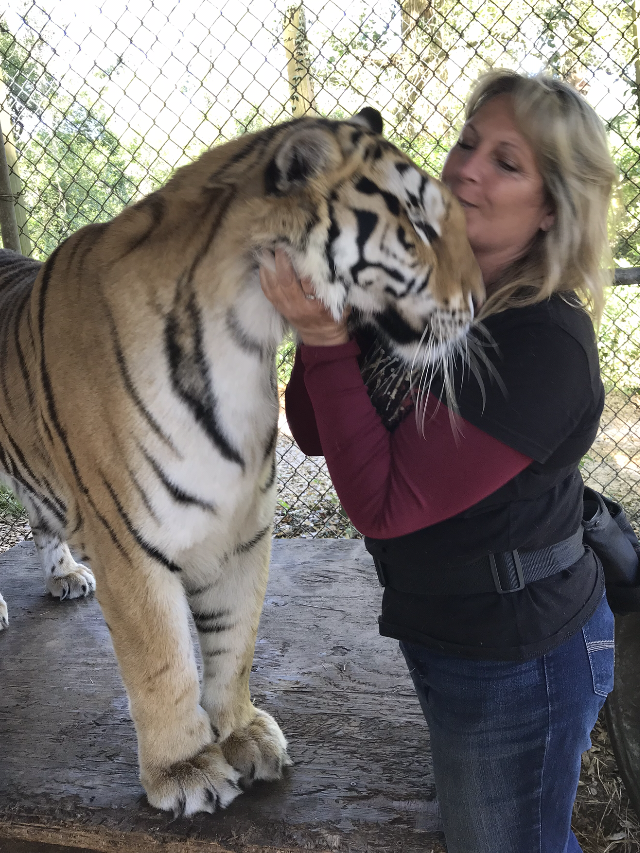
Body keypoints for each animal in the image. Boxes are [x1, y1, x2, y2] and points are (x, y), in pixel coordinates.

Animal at [0, 107, 482, 816]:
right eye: (419, 225)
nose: (481, 298)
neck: (246, 331)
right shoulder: (129, 543)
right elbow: (164, 664)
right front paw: (184, 770)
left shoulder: (241, 525)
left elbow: (233, 642)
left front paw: (243, 735)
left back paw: (63, 576)